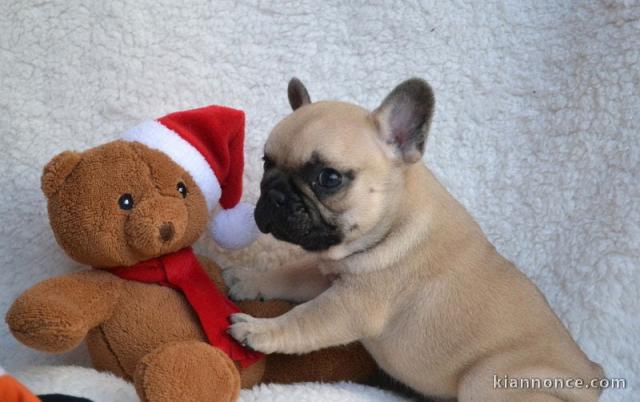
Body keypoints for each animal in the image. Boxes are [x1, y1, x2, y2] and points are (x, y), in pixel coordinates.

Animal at [230, 78, 604, 402]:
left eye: (329, 178)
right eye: (266, 162)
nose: (274, 193)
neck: (394, 218)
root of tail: (594, 378)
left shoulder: (351, 305)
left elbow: (303, 319)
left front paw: (259, 330)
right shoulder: (328, 273)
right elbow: (290, 274)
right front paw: (247, 279)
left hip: (488, 379)